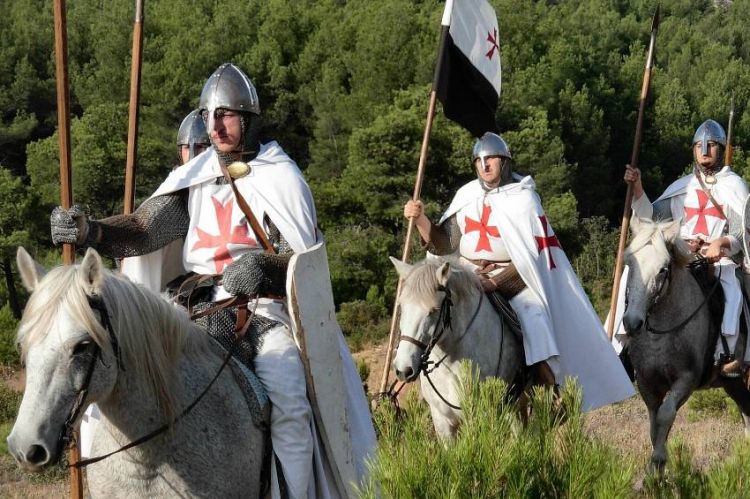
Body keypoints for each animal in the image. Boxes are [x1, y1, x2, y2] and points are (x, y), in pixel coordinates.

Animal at [624, 217, 750, 470]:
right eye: (630, 262)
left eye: (663, 269)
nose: (632, 322)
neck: (661, 336)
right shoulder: (647, 385)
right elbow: (654, 426)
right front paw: (656, 471)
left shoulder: (686, 381)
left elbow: (665, 416)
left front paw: (659, 459)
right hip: (734, 382)